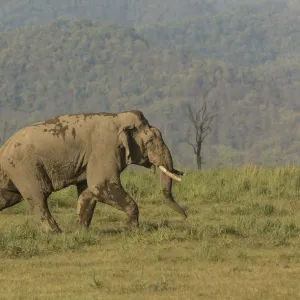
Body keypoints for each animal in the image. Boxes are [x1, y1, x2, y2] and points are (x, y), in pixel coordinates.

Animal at [0, 110, 186, 232]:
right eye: (151, 140)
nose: (186, 216)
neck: (119, 118)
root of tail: (4, 148)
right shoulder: (105, 148)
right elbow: (101, 184)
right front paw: (132, 229)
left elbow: (90, 190)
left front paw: (81, 231)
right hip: (24, 169)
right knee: (38, 198)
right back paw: (56, 233)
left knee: (8, 198)